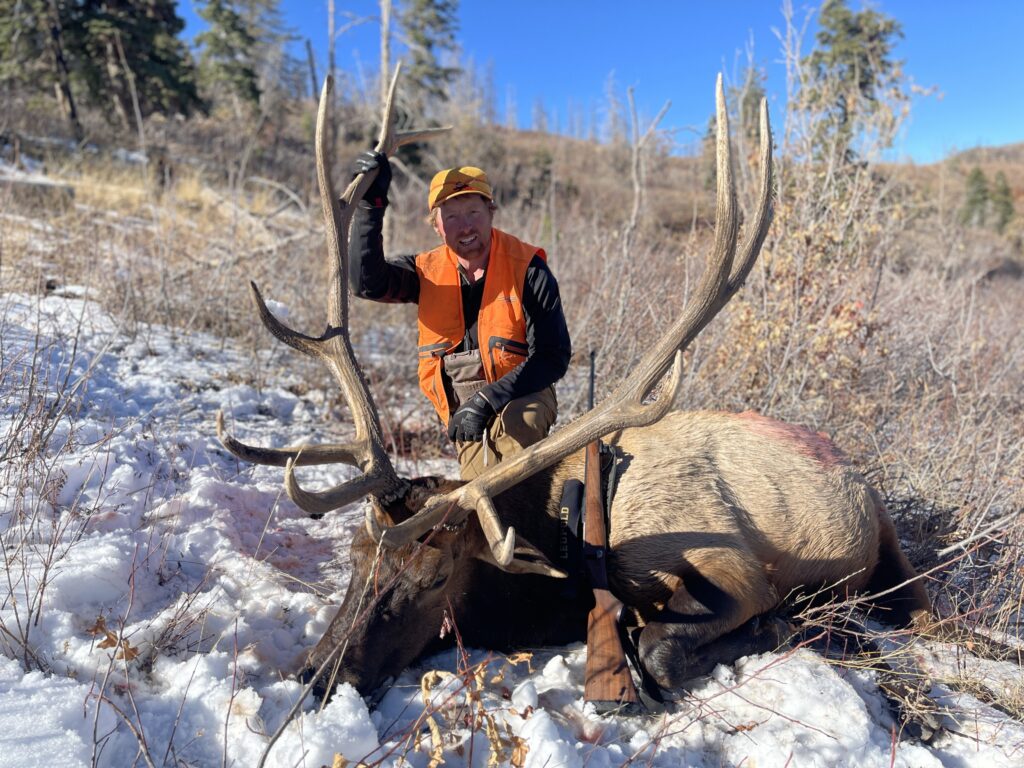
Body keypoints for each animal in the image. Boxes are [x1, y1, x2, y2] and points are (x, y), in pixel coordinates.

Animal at [216, 70, 932, 702]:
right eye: (356, 553)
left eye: (437, 576)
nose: (318, 673)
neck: (564, 543)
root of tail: (864, 485)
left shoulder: (736, 570)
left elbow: (660, 649)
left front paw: (771, 624)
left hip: (886, 568)